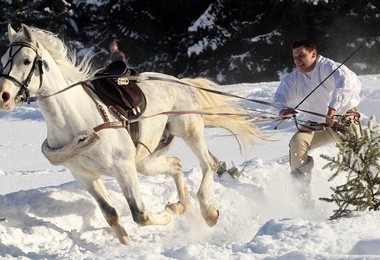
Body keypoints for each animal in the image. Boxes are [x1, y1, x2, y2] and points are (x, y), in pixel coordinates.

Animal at [0, 23, 262, 244]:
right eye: (3, 60)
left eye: (26, 60)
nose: (4, 96)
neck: (75, 121)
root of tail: (177, 80)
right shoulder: (85, 176)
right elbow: (111, 215)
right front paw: (129, 240)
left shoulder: (123, 168)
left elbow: (140, 215)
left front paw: (169, 211)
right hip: (146, 160)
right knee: (177, 165)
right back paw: (185, 207)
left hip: (188, 131)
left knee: (208, 164)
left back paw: (207, 212)